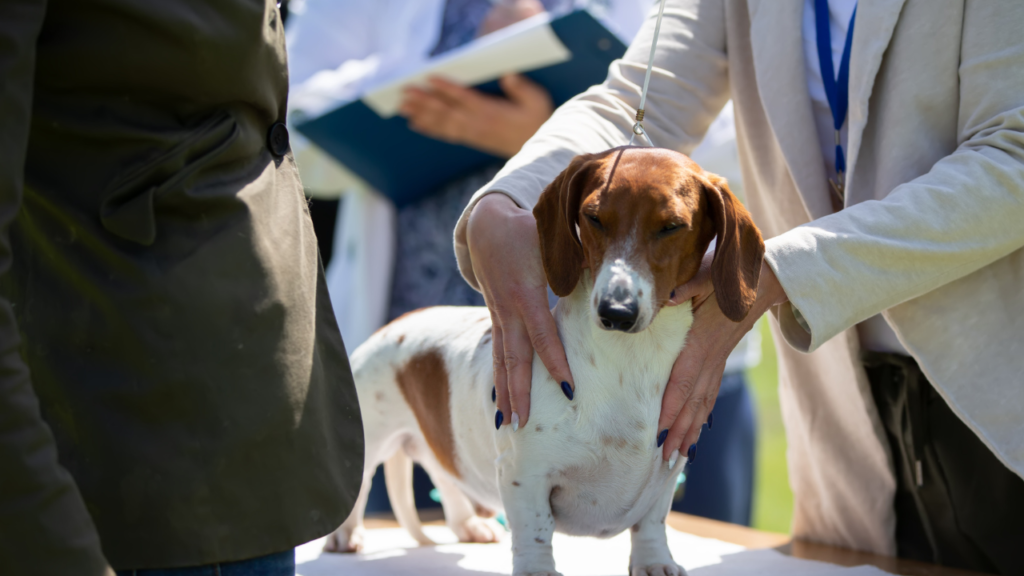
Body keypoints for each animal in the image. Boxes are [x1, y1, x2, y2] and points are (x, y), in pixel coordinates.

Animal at [323, 146, 765, 573]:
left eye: (671, 226)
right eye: (593, 218)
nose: (615, 311)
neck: (629, 364)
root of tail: (395, 323)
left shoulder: (667, 470)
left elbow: (652, 524)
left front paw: (654, 562)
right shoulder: (525, 473)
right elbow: (535, 531)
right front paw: (537, 570)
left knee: (445, 475)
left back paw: (467, 525)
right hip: (371, 436)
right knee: (359, 484)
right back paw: (345, 536)